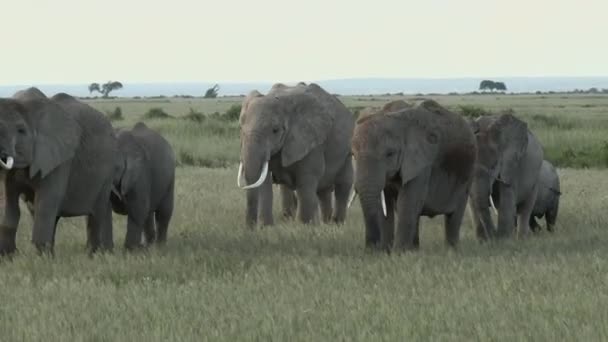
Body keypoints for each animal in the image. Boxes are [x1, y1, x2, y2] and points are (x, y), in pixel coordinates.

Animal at [0, 88, 117, 254]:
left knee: (97, 212)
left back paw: (96, 254)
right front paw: (8, 256)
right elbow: (9, 204)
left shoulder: (60, 157)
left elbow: (47, 200)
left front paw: (42, 258)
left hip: (108, 167)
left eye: (21, 130)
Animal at [235, 83, 354, 227]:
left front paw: (303, 227)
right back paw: (325, 224)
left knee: (343, 185)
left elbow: (306, 179)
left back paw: (337, 224)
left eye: (275, 130)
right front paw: (267, 227)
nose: (250, 228)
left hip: (346, 150)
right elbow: (264, 182)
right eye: (241, 128)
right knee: (322, 191)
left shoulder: (311, 142)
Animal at [352, 99, 480, 251]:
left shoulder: (422, 162)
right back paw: (414, 250)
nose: (370, 249)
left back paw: (452, 250)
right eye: (353, 155)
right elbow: (387, 207)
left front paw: (398, 253)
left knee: (454, 214)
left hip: (468, 170)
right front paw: (386, 252)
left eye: (390, 154)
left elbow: (406, 203)